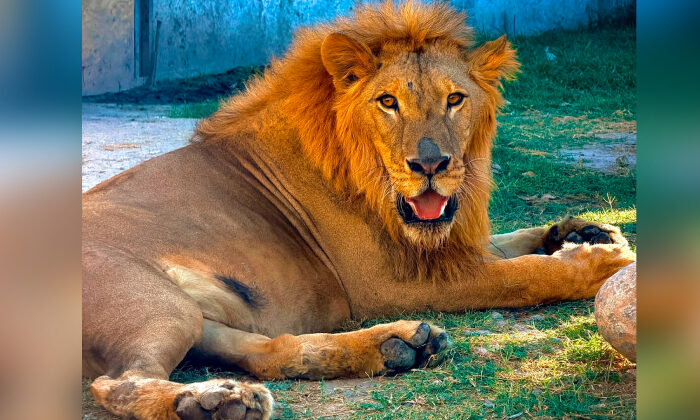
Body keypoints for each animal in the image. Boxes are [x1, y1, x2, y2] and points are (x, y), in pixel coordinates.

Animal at [82, 1, 635, 419]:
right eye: (387, 101)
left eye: (455, 99)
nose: (430, 164)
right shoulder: (390, 283)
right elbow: (520, 277)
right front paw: (603, 262)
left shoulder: (445, 242)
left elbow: (509, 241)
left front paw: (588, 231)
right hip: (156, 302)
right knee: (117, 382)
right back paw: (211, 402)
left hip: (196, 315)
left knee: (268, 354)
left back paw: (398, 347)